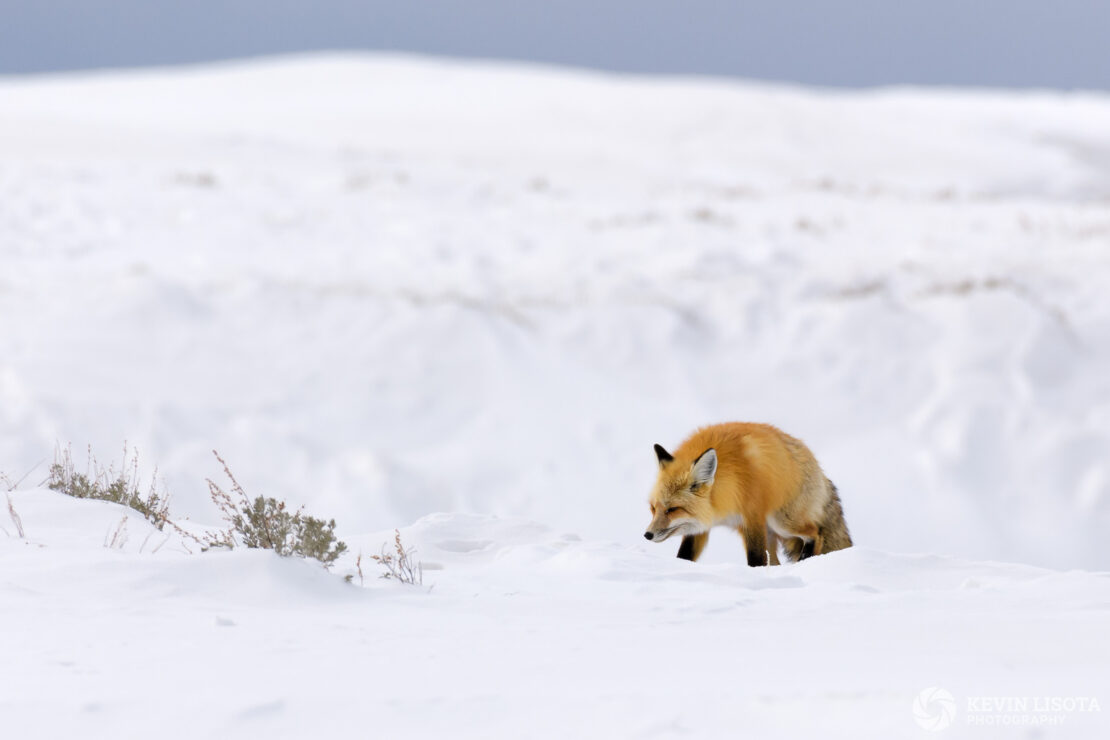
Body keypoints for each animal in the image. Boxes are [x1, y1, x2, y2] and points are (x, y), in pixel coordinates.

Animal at [643, 421, 848, 568]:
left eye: (673, 509)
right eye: (653, 508)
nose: (647, 535)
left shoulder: (752, 519)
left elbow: (755, 559)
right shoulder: (700, 525)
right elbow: (685, 555)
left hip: (782, 522)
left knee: (815, 533)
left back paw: (805, 560)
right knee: (776, 561)